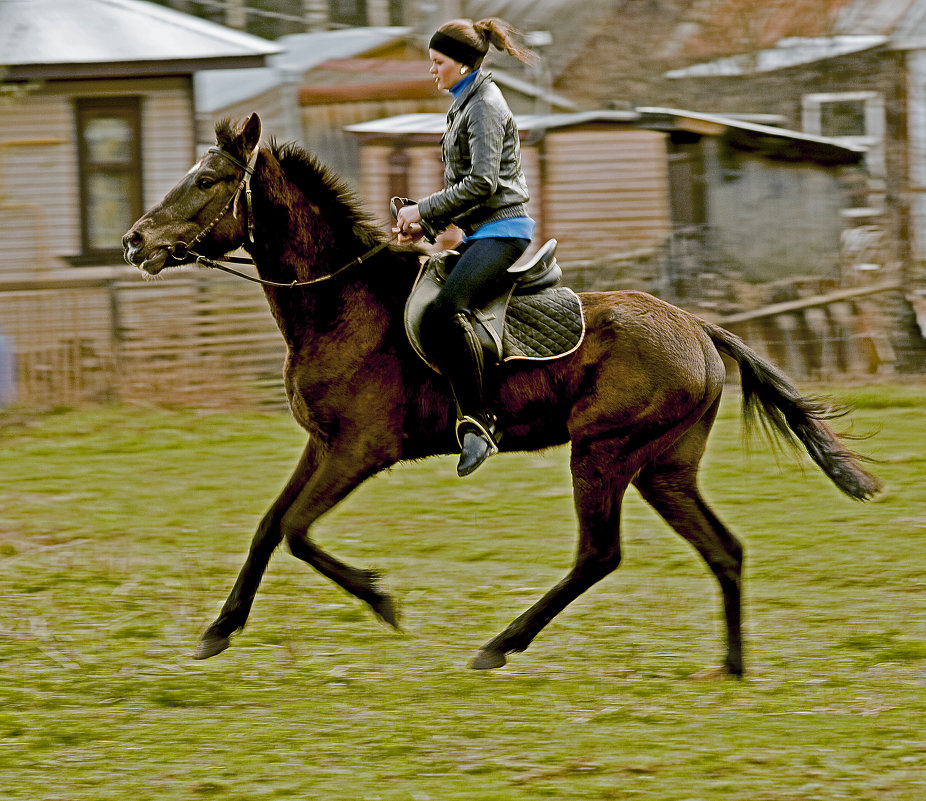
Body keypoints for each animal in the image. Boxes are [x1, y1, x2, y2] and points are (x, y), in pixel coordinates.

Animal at [123, 112, 884, 676]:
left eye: (207, 180)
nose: (135, 241)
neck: (341, 302)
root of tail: (698, 326)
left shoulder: (361, 450)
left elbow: (297, 530)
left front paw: (381, 598)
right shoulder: (323, 446)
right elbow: (268, 526)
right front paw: (220, 628)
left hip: (603, 454)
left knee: (599, 555)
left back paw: (498, 644)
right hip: (664, 469)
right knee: (723, 549)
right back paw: (730, 666)